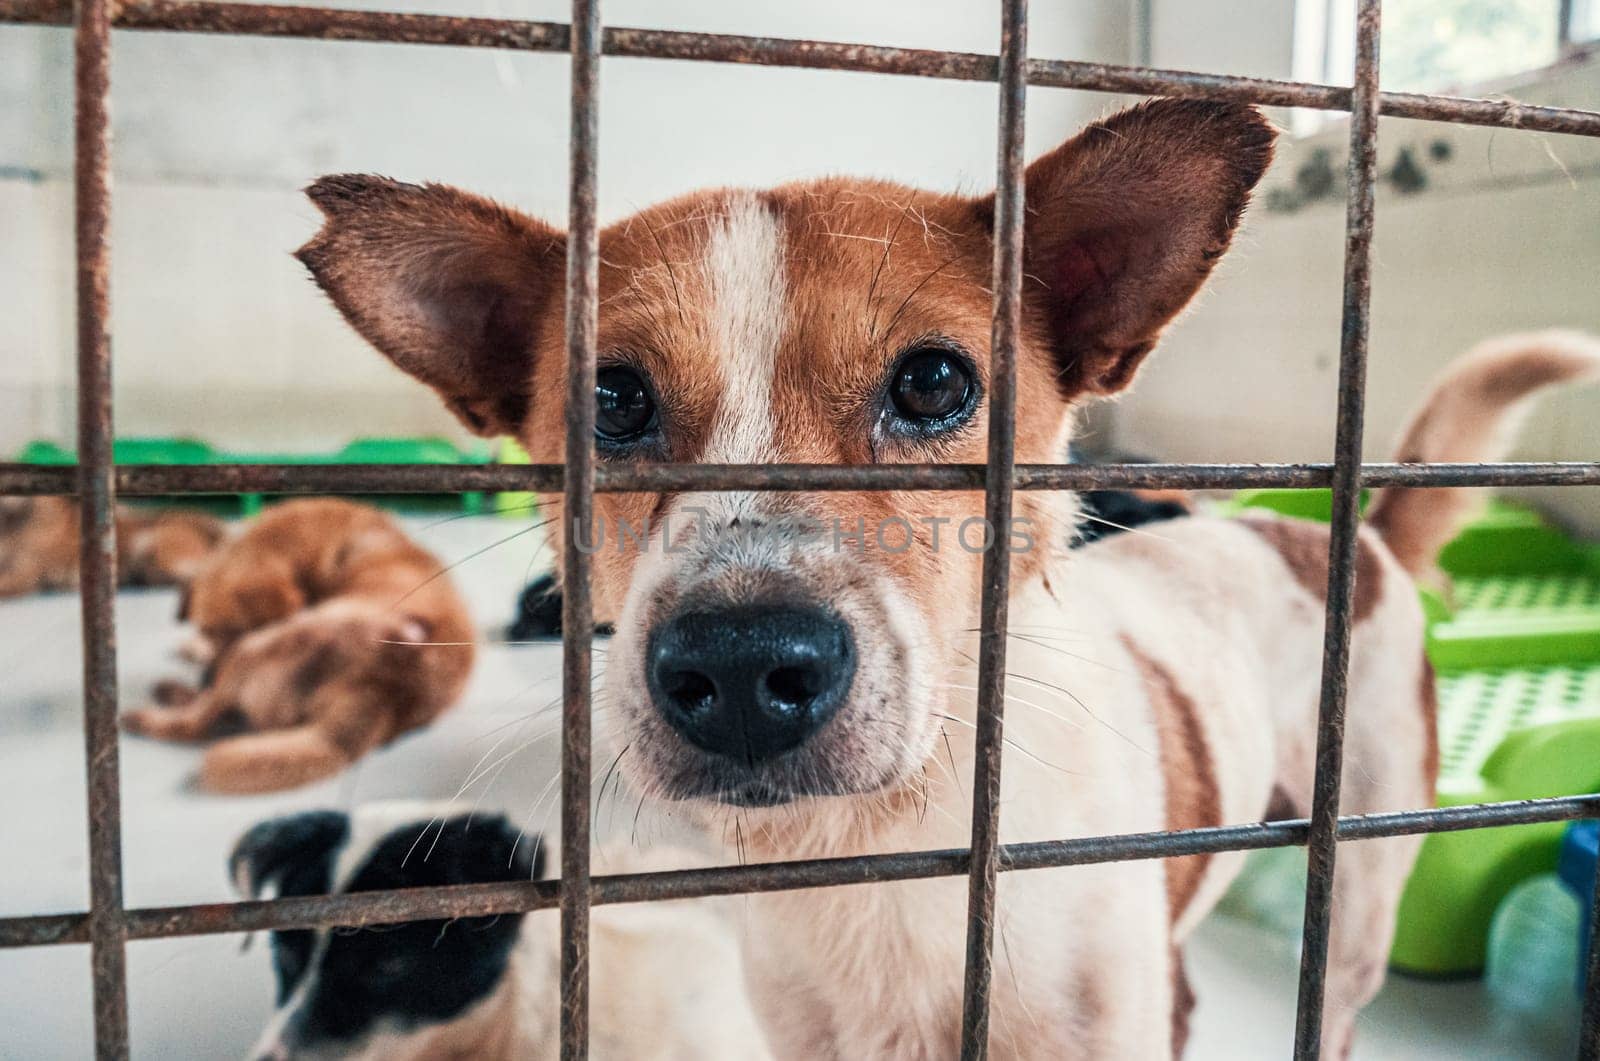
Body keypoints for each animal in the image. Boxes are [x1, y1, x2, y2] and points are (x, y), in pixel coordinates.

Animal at [120, 502, 470, 793]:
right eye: (208, 630)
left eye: (234, 632)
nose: (206, 677)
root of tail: (379, 691)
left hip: (258, 649)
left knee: (197, 722)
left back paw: (149, 710)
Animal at [291, 97, 1600, 1056]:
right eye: (610, 399)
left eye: (932, 383)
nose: (740, 665)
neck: (888, 849)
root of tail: (1346, 532)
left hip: (1364, 882)